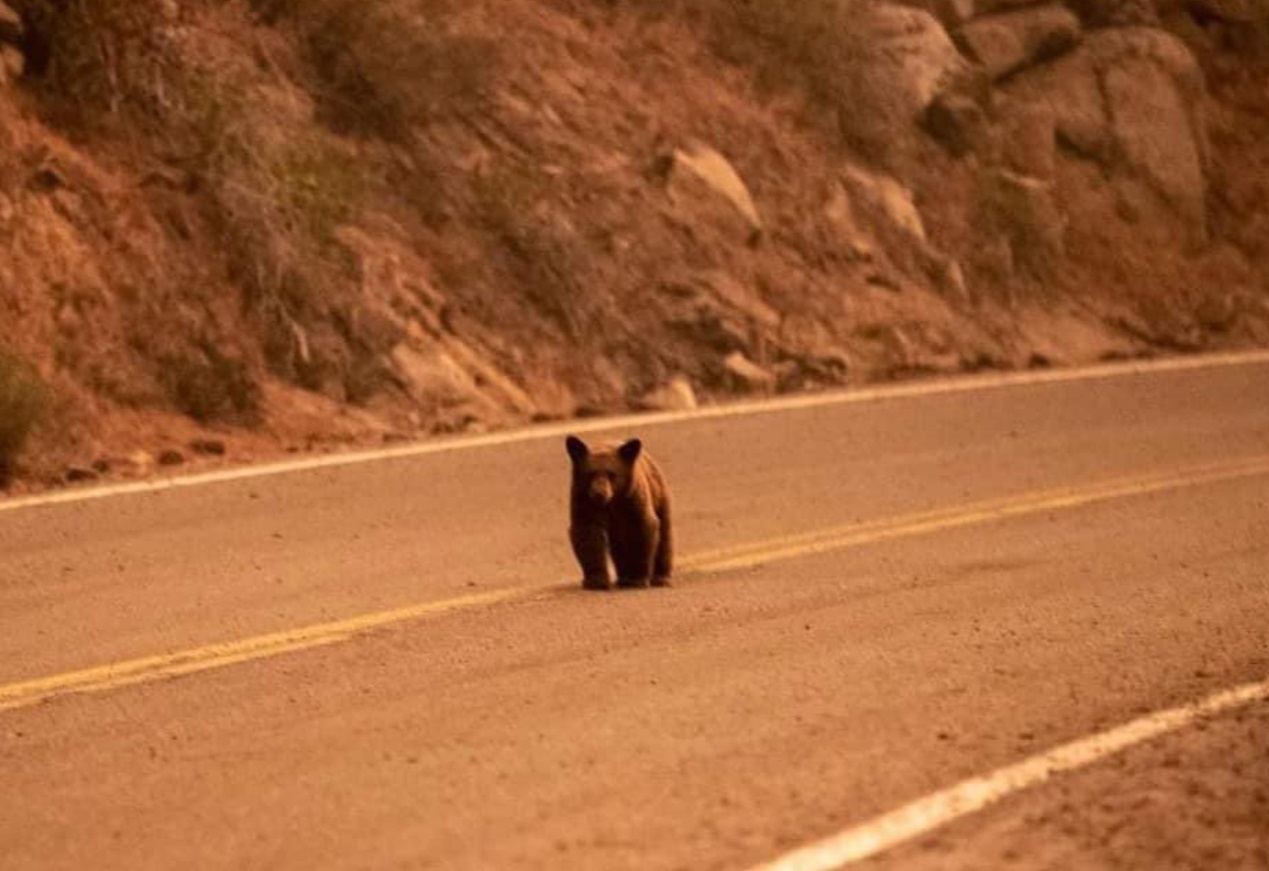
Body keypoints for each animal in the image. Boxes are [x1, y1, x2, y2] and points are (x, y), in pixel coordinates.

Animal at [565, 436, 675, 594]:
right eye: (590, 474)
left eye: (612, 474)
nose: (599, 493)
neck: (611, 503)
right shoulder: (584, 501)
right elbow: (587, 533)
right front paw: (596, 582)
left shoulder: (633, 499)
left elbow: (642, 528)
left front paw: (637, 580)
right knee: (618, 545)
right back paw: (623, 578)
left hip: (659, 495)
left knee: (664, 534)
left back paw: (661, 578)